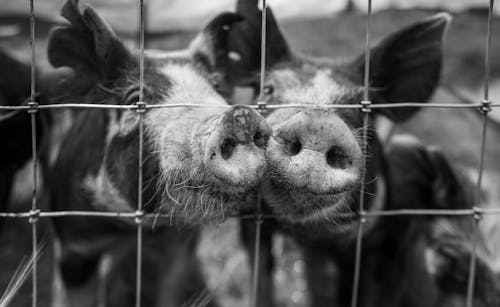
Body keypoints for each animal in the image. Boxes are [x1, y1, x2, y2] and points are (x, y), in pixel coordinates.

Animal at [41, 1, 272, 306]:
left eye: (218, 89)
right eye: (133, 100)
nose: (240, 116)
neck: (136, 227)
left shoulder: (180, 244)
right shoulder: (74, 245)